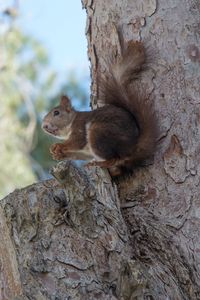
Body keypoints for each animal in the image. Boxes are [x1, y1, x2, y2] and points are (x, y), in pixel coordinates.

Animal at [41, 39, 158, 176]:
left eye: (56, 113)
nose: (44, 126)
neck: (71, 122)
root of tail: (133, 147)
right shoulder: (86, 152)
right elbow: (79, 154)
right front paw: (59, 155)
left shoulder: (79, 127)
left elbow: (76, 141)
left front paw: (58, 146)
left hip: (99, 133)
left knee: (114, 159)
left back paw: (99, 163)